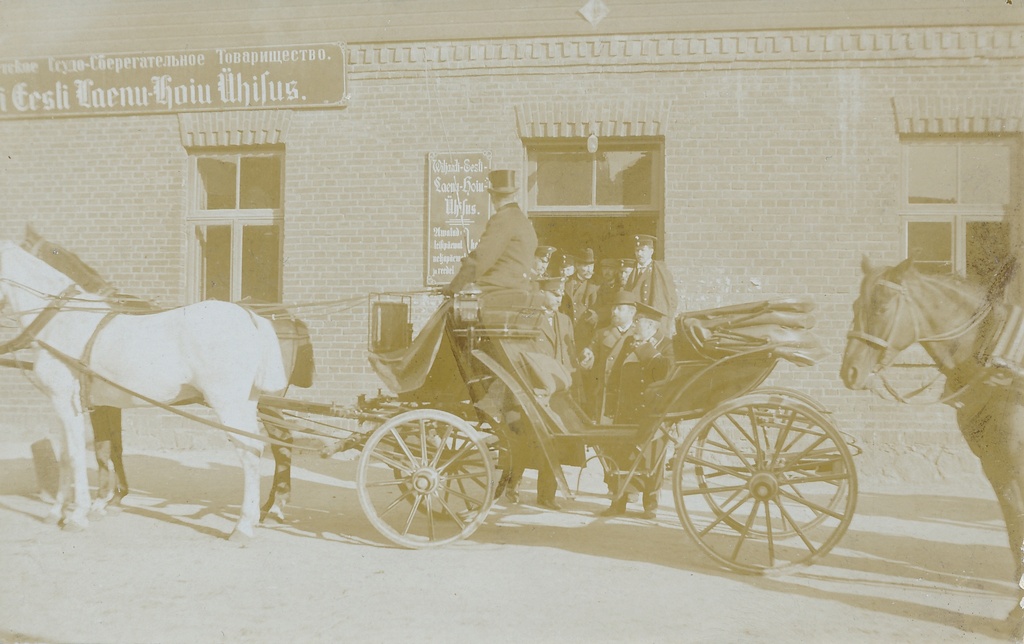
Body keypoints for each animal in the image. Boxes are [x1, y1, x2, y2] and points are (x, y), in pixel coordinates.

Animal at [0, 239, 288, 536]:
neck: (60, 319)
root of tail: (250, 316)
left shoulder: (69, 404)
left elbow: (79, 455)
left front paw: (78, 515)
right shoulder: (73, 405)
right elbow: (70, 456)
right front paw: (57, 511)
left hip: (229, 404)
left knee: (251, 453)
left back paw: (244, 525)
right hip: (247, 403)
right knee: (259, 449)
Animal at [839, 254, 1024, 626]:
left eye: (882, 306)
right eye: (854, 305)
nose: (849, 371)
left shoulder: (1015, 468)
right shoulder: (997, 469)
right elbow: (1014, 534)